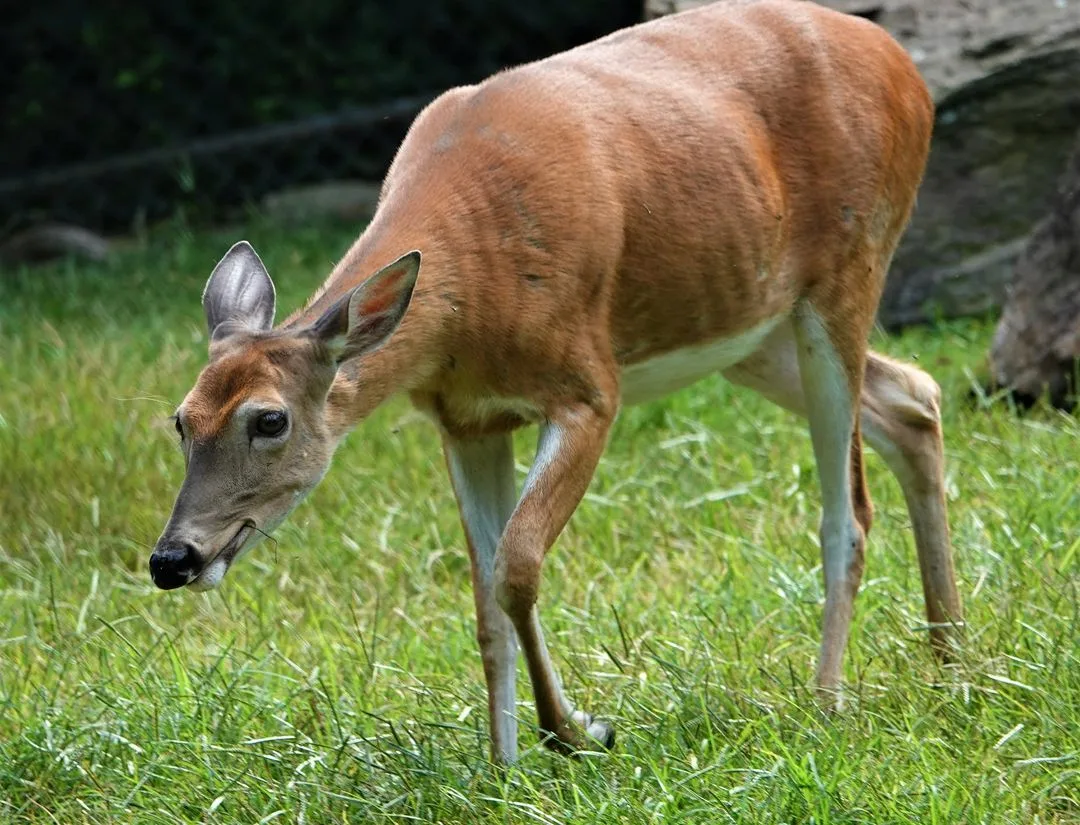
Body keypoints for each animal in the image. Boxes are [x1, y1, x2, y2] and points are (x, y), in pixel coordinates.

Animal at [150, 0, 963, 764]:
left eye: (270, 419)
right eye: (181, 420)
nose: (171, 559)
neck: (469, 293)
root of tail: (904, 68)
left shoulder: (587, 387)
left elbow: (517, 566)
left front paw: (576, 732)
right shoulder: (466, 421)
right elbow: (484, 596)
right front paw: (503, 766)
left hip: (849, 267)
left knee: (849, 510)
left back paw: (829, 698)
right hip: (751, 328)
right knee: (912, 397)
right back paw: (951, 659)